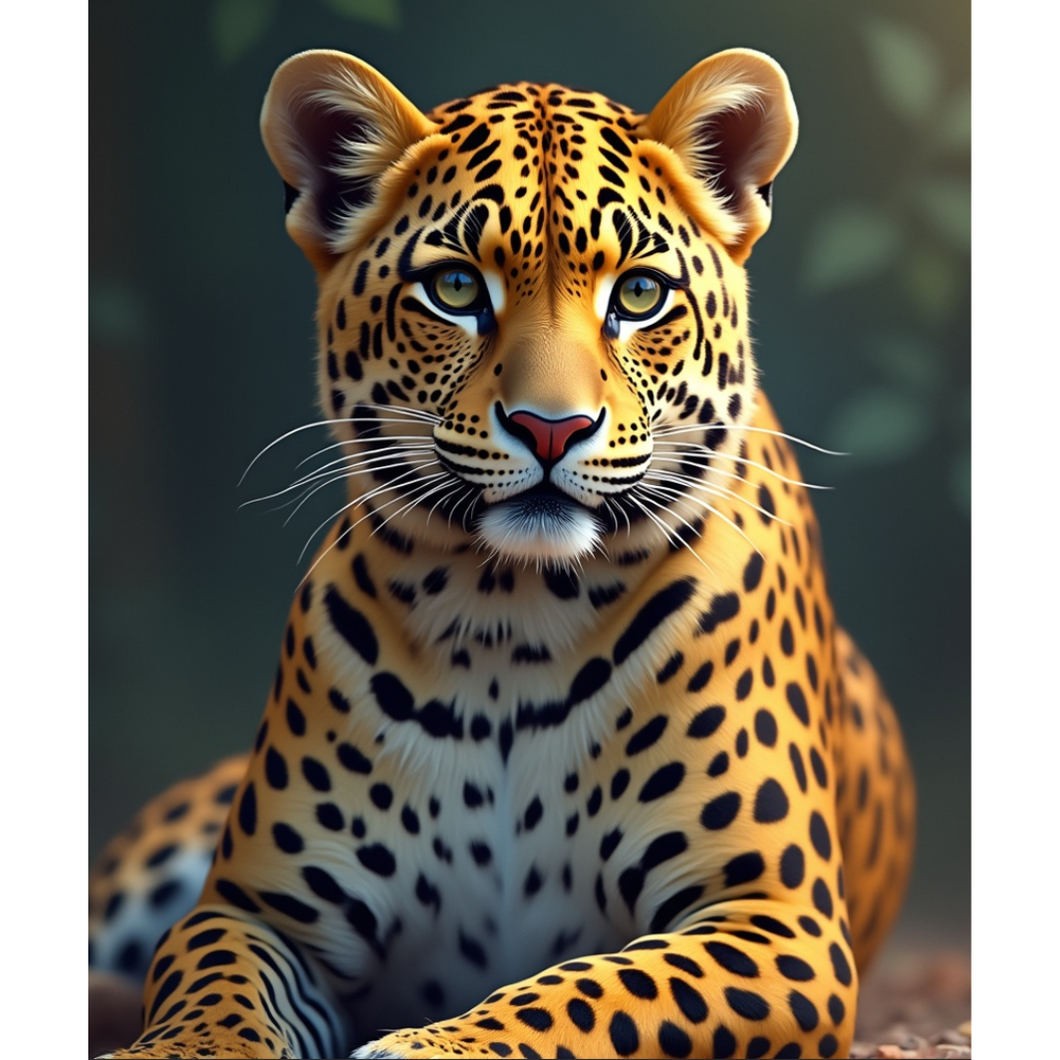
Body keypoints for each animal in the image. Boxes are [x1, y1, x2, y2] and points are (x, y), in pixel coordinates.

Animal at [89, 46, 916, 1059]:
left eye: (639, 295)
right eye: (454, 290)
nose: (549, 428)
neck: (509, 617)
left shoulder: (774, 919)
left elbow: (598, 991)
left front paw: (427, 1044)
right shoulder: (254, 910)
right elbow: (213, 990)